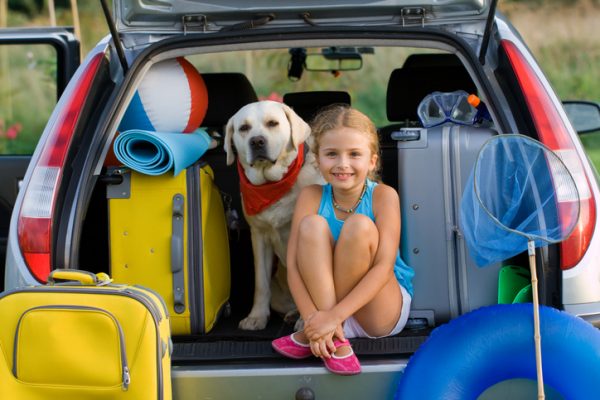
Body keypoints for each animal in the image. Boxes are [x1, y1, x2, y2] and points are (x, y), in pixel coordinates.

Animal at [225, 101, 324, 332]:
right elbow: (260, 284)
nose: (257, 141)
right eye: (243, 128)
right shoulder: (259, 236)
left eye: (272, 123)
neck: (273, 184)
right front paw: (256, 317)